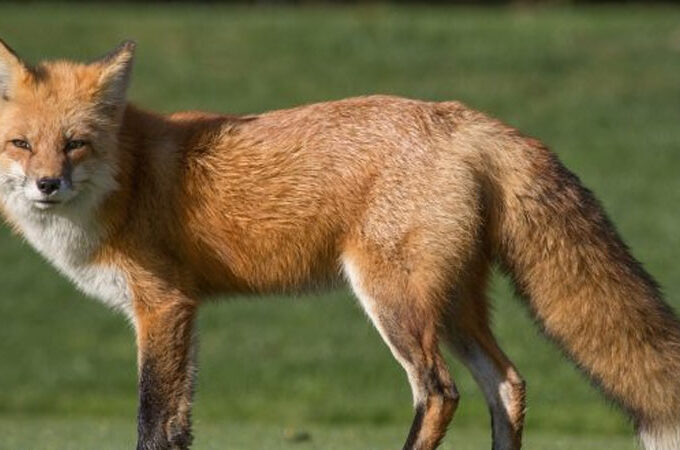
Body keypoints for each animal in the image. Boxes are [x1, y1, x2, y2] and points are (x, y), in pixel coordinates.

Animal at [1, 38, 680, 450]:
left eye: (76, 143)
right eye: (22, 144)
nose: (47, 185)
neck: (129, 177)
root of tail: (467, 118)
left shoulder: (162, 305)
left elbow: (152, 423)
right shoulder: (181, 314)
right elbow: (177, 425)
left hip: (395, 300)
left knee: (440, 391)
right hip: (453, 304)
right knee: (508, 384)